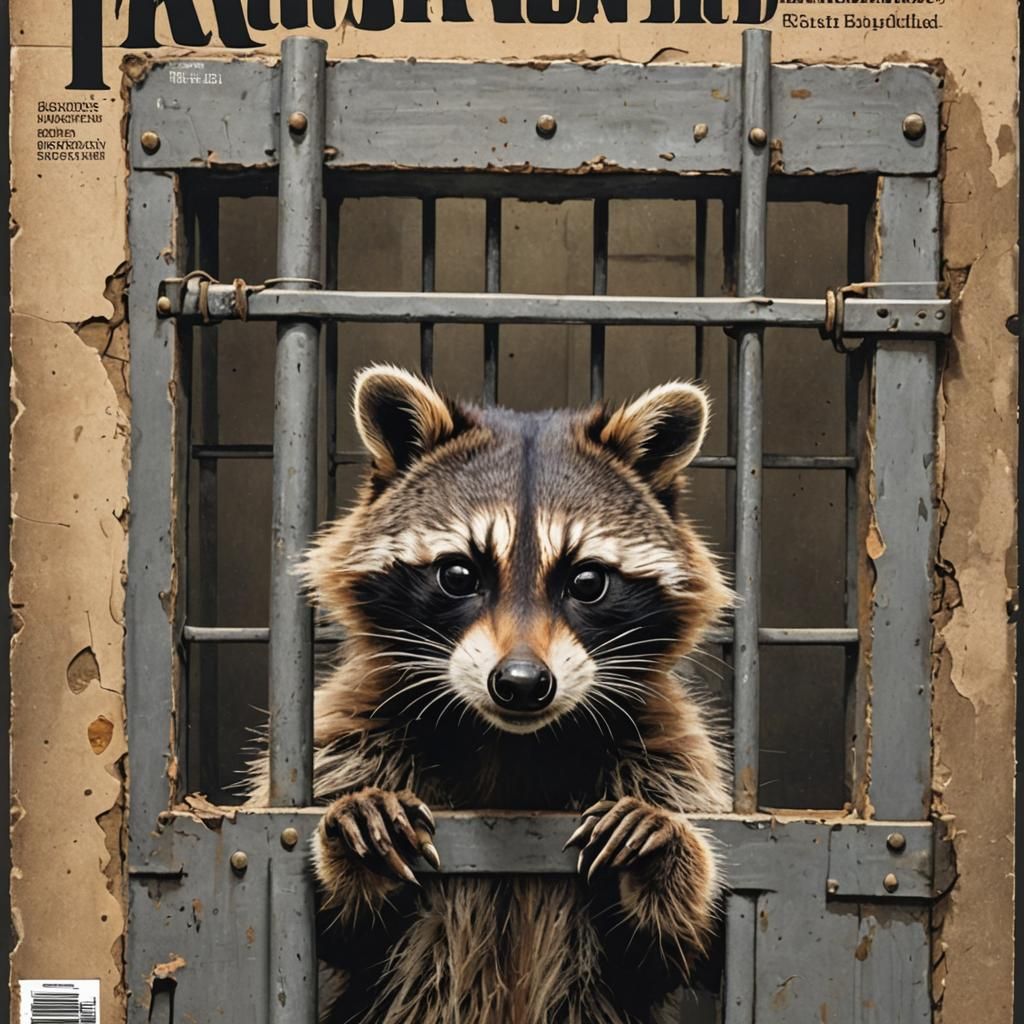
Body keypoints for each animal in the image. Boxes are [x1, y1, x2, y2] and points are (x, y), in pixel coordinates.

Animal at [250, 365, 732, 1024]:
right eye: (459, 575)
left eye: (587, 581)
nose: (522, 684)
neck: (510, 742)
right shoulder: (350, 728)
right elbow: (337, 935)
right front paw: (357, 839)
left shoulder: (669, 748)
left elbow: (675, 954)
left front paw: (664, 851)